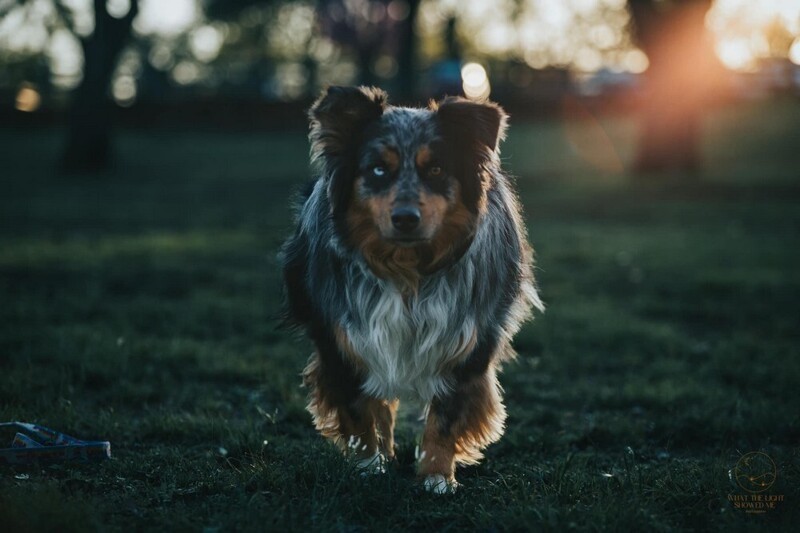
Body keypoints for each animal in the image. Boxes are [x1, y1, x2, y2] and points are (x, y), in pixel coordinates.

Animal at [282, 86, 544, 490]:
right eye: (378, 169)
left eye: (435, 169)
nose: (405, 218)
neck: (408, 271)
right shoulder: (340, 338)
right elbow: (358, 411)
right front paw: (368, 466)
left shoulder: (469, 340)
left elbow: (445, 418)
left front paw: (436, 476)